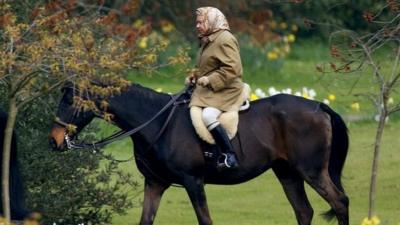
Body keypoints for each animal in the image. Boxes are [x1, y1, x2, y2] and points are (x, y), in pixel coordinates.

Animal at [49, 84, 350, 225]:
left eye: (69, 100)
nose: (54, 141)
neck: (158, 122)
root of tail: (318, 106)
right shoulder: (155, 183)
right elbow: (146, 219)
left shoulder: (193, 182)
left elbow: (205, 219)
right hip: (287, 173)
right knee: (304, 211)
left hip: (312, 171)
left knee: (339, 202)